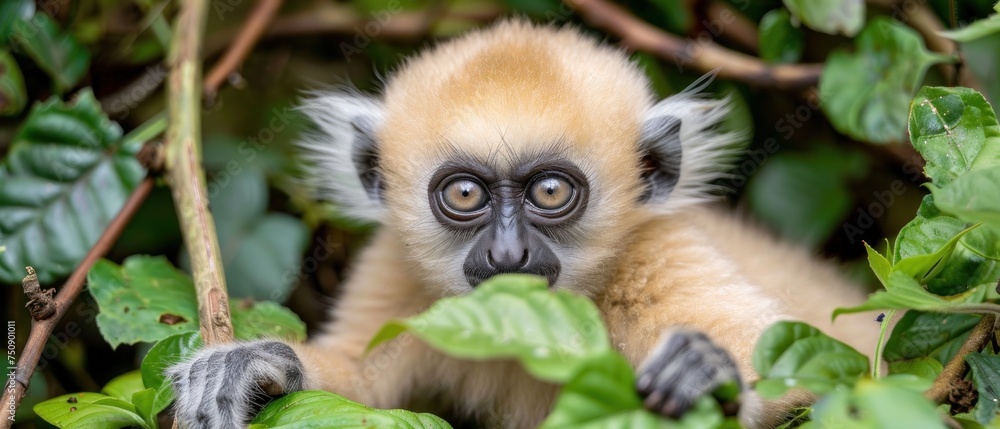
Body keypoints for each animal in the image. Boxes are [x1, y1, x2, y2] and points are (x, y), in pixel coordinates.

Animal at [168, 19, 880, 429]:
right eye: (464, 194)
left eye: (550, 191)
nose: (508, 255)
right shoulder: (398, 268)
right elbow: (360, 385)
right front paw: (257, 367)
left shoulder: (652, 251)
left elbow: (798, 359)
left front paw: (709, 370)